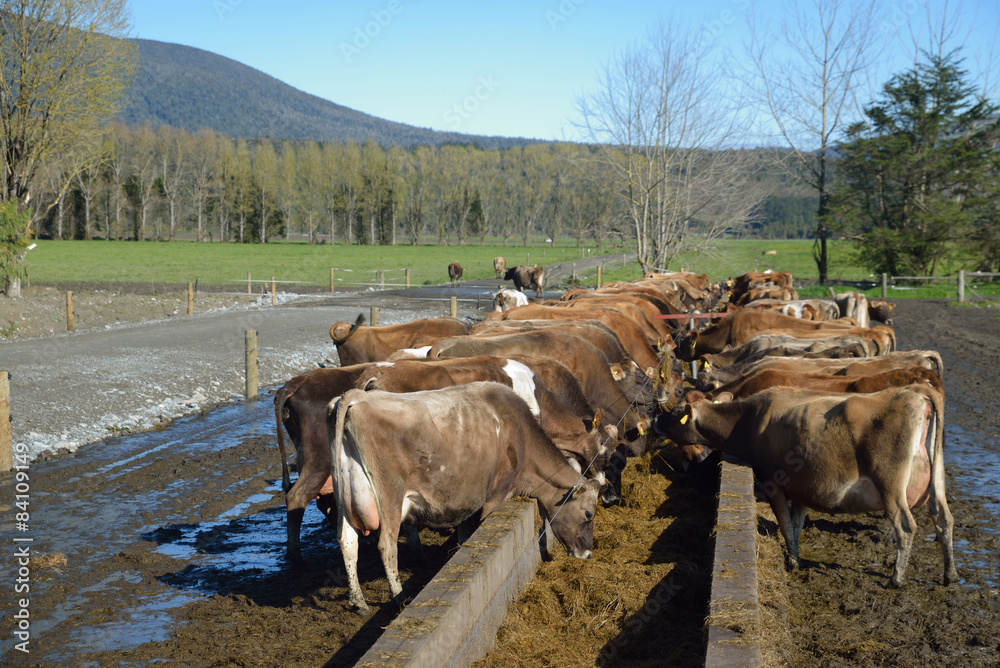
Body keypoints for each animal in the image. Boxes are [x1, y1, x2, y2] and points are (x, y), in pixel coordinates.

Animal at [328, 380, 596, 612]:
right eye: (588, 514)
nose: (588, 553)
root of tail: (357, 395)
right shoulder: (493, 497)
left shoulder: (469, 503)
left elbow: (464, 535)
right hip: (390, 494)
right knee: (386, 545)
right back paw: (399, 598)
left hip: (346, 496)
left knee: (347, 542)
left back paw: (358, 602)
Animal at [652, 384, 956, 588]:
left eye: (676, 412)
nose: (655, 421)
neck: (749, 420)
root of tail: (915, 392)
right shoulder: (802, 488)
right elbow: (797, 524)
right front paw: (796, 555)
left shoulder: (773, 482)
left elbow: (786, 524)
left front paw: (792, 561)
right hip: (937, 479)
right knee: (943, 518)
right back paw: (949, 574)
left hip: (890, 484)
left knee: (906, 526)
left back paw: (896, 578)